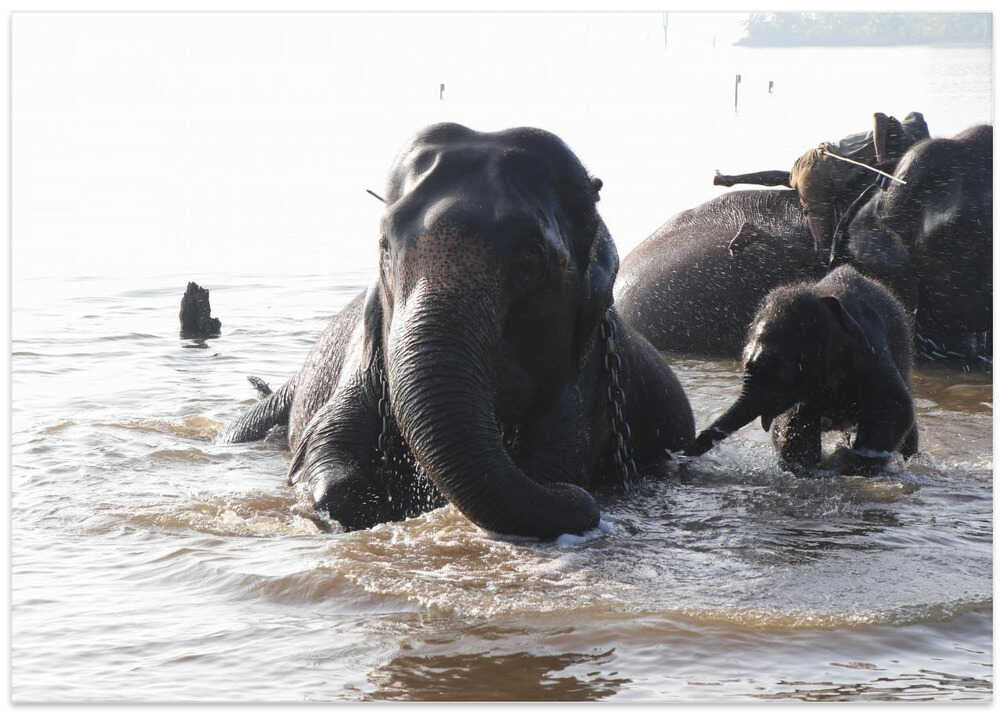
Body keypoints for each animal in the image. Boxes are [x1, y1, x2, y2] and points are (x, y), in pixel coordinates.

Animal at [223, 123, 695, 539]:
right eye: (384, 245)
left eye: (531, 257)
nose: (584, 501)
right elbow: (328, 445)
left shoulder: (581, 380)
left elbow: (549, 464)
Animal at [688, 265, 918, 474]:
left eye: (783, 374)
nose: (686, 452)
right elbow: (794, 424)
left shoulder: (871, 355)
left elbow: (893, 405)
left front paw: (842, 461)